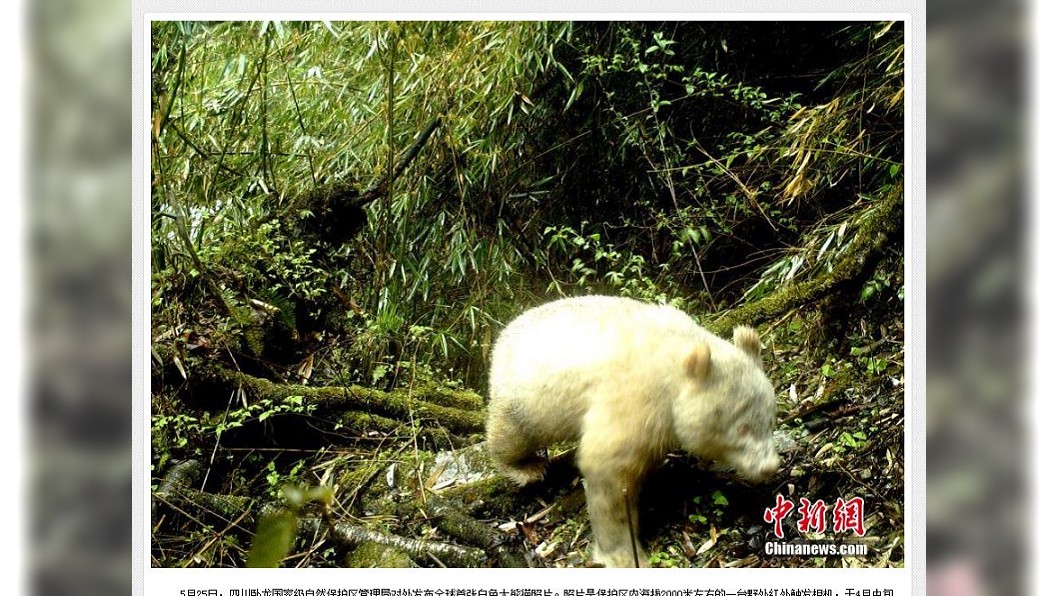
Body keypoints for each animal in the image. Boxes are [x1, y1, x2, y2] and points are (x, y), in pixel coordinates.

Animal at [486, 295, 781, 568]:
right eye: (742, 428)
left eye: (770, 420)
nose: (770, 466)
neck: (674, 361)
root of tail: (504, 334)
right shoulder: (635, 398)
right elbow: (608, 470)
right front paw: (623, 554)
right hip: (525, 396)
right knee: (512, 434)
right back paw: (525, 468)